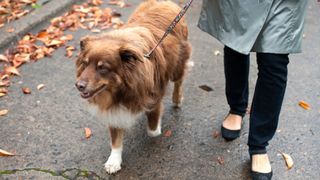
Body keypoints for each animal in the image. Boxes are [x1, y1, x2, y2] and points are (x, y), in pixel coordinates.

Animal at [75, 0, 191, 174]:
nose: (78, 86)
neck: (121, 90)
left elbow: (153, 130)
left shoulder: (153, 96)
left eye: (102, 68)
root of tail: (164, 2)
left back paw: (177, 99)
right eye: (85, 63)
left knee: (179, 81)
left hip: (178, 63)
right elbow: (116, 138)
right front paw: (114, 160)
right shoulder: (113, 109)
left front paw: (155, 124)